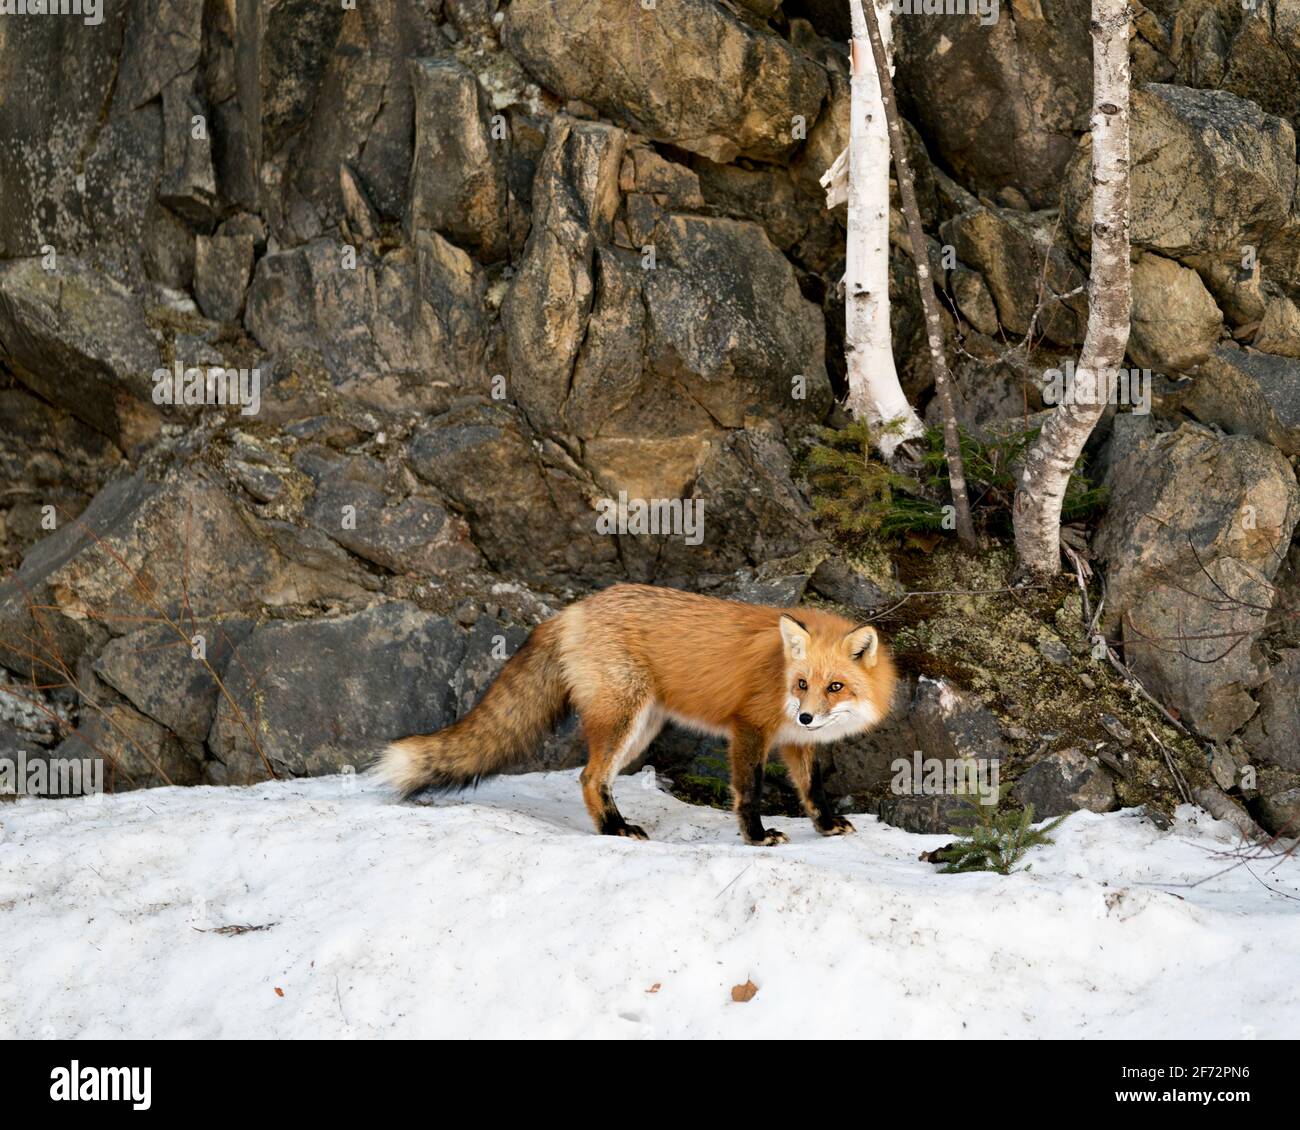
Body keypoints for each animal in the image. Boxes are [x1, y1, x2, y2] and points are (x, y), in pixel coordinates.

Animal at [375, 584, 897, 846]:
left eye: (835, 686)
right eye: (802, 684)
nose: (807, 717)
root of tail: (571, 610)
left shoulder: (794, 741)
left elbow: (813, 790)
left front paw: (826, 826)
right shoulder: (749, 728)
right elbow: (749, 792)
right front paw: (757, 836)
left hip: (641, 729)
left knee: (594, 778)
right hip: (622, 719)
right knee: (589, 777)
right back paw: (615, 830)